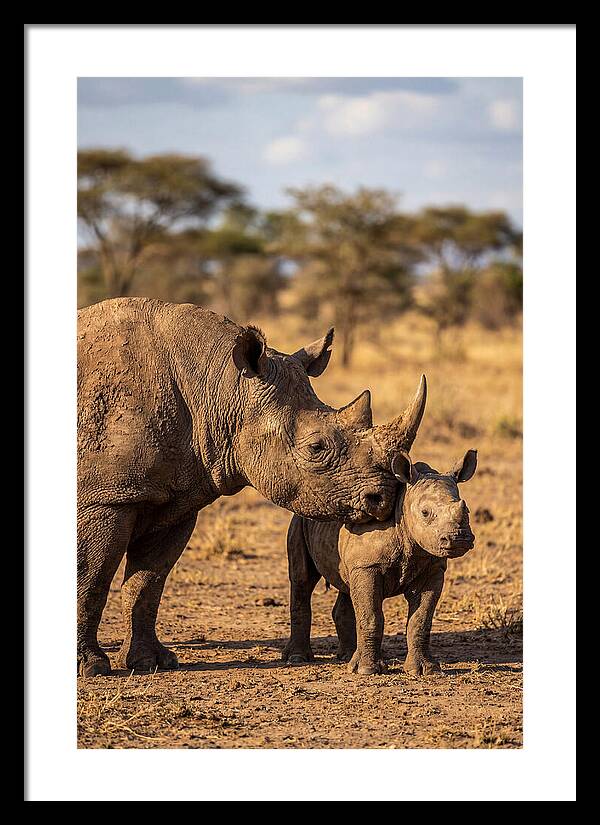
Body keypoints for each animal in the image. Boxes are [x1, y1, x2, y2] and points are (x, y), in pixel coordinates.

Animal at [77, 298, 425, 676]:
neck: (220, 387)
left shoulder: (176, 498)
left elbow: (148, 582)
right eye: (315, 448)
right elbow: (91, 576)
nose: (383, 498)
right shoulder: (107, 498)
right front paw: (91, 667)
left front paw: (150, 662)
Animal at [282, 438, 478, 677]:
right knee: (302, 580)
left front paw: (425, 670)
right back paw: (298, 658)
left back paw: (348, 657)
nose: (459, 539)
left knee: (347, 586)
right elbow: (371, 616)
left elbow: (421, 620)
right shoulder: (368, 566)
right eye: (425, 513)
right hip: (299, 520)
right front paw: (367, 670)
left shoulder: (432, 568)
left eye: (466, 510)